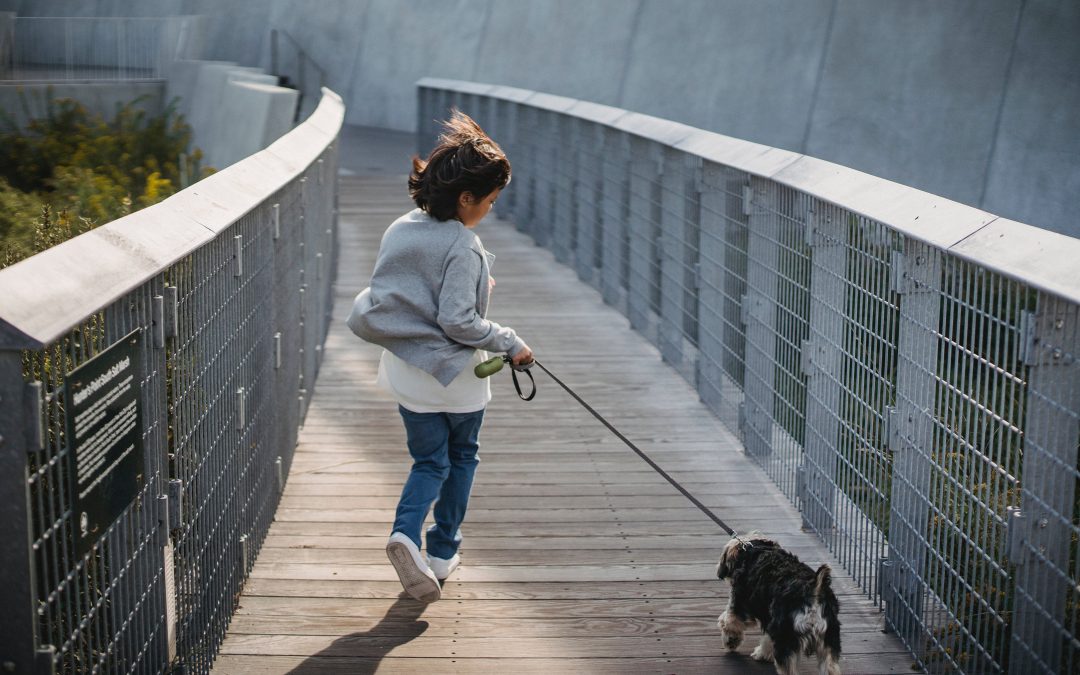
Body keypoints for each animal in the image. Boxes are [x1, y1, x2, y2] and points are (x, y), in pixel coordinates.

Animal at [717, 533, 842, 669]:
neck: (752, 549)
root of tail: (814, 590)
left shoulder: (739, 607)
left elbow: (727, 622)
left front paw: (731, 641)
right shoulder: (770, 619)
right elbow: (768, 640)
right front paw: (764, 654)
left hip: (786, 636)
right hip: (829, 639)